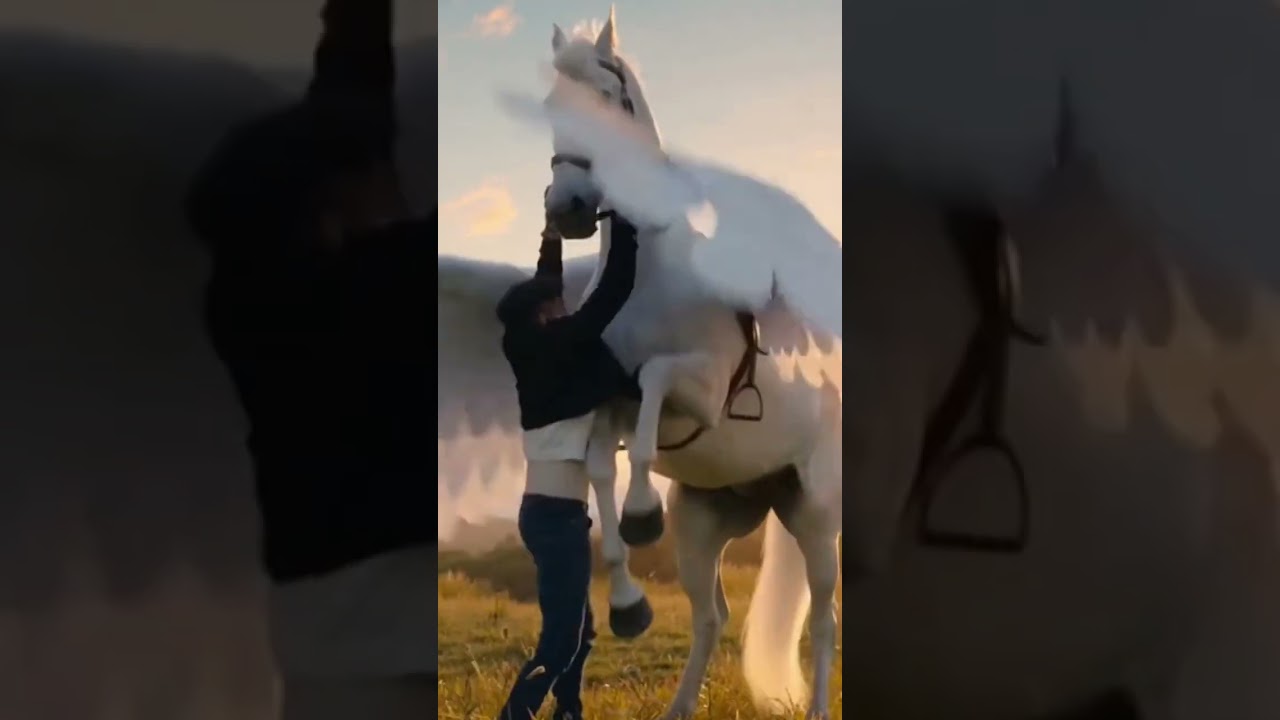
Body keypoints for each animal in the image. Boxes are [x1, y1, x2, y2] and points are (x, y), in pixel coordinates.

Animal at [438, 12, 845, 720]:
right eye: (550, 106)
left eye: (608, 99)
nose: (567, 208)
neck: (651, 277)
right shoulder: (606, 400)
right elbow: (603, 465)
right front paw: (628, 599)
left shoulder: (700, 392)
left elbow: (653, 390)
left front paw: (639, 511)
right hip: (705, 525)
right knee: (711, 617)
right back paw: (679, 708)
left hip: (816, 513)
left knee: (822, 617)